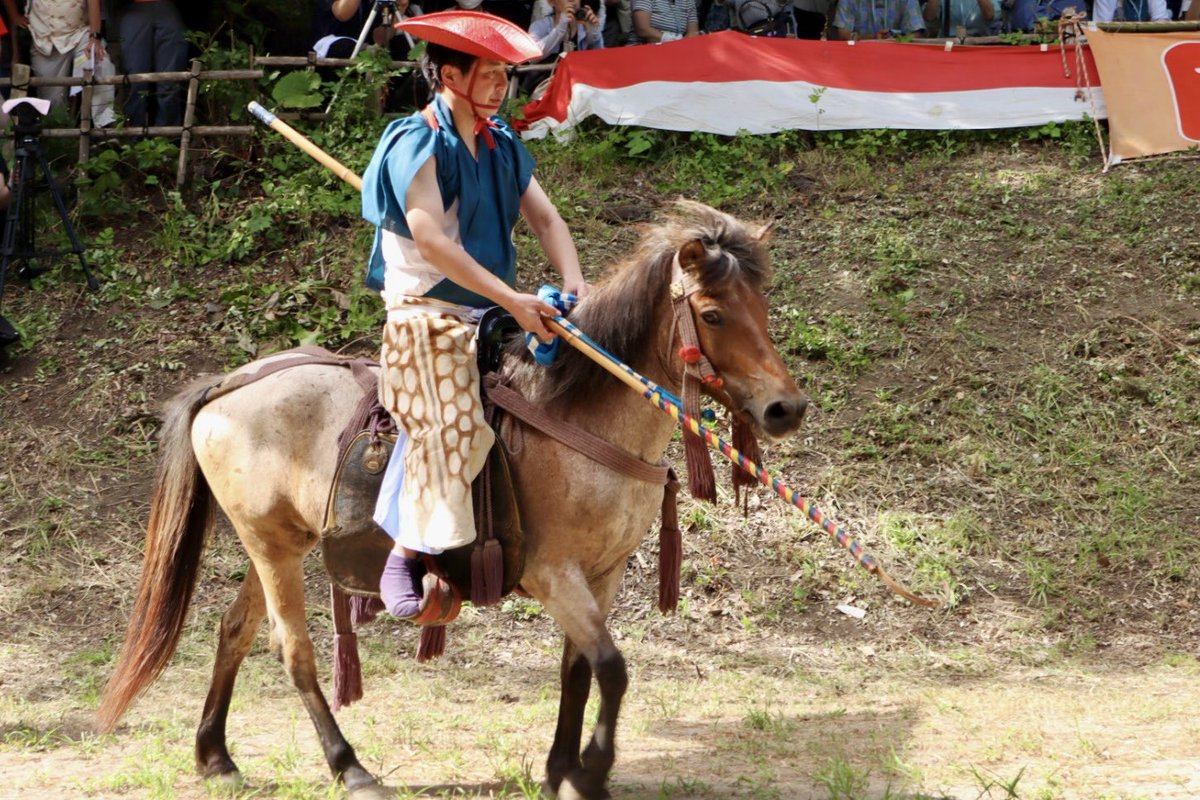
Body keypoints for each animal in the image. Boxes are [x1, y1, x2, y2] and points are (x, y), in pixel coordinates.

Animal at [96, 200, 808, 799]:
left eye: (763, 307)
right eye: (712, 314)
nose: (786, 408)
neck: (576, 415)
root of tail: (230, 383)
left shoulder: (601, 575)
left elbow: (577, 670)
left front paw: (560, 770)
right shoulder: (553, 573)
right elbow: (611, 668)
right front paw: (591, 774)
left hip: (275, 543)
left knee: (235, 630)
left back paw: (214, 754)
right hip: (271, 548)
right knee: (293, 652)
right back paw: (348, 765)